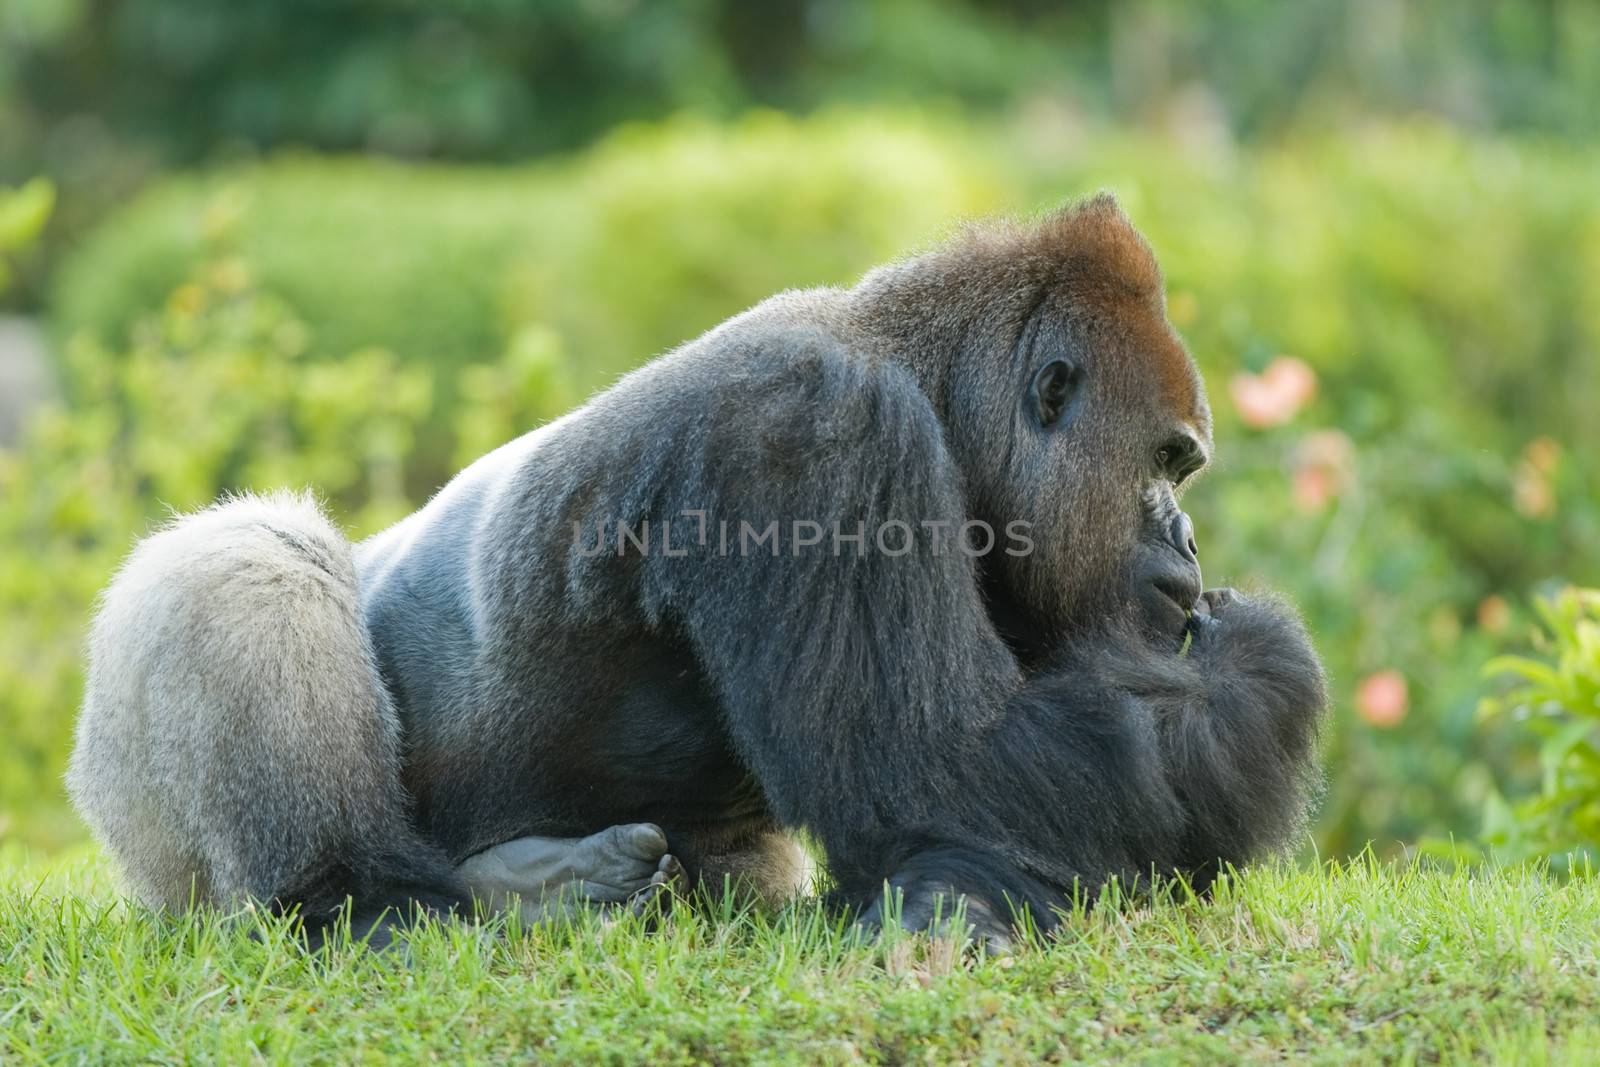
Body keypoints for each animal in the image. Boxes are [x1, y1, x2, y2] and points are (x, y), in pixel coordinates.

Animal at [68, 195, 1331, 947]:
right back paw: (376, 900)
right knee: (240, 563)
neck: (920, 367)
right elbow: (931, 766)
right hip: (150, 833)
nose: (1187, 541)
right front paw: (1255, 679)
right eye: (1169, 460)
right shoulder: (817, 431)